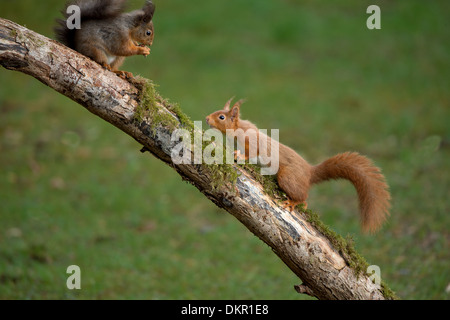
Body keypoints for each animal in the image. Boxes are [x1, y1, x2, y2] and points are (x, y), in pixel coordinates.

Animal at [207, 97, 390, 232]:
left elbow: (251, 153)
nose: (207, 118)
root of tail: (309, 172)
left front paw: (239, 155)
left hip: (288, 178)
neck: (239, 129)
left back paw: (294, 202)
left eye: (222, 117)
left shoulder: (252, 142)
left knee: (304, 197)